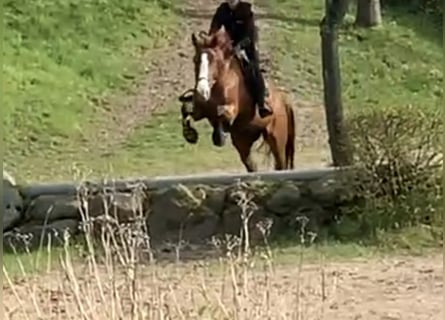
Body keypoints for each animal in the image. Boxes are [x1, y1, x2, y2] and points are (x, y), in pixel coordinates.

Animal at [177, 26, 294, 172]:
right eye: (195, 60)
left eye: (214, 61)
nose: (202, 90)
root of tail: (282, 99)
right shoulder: (201, 110)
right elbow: (186, 108)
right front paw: (190, 134)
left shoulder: (232, 109)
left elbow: (222, 113)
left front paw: (219, 136)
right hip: (243, 141)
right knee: (251, 165)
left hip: (276, 138)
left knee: (280, 163)